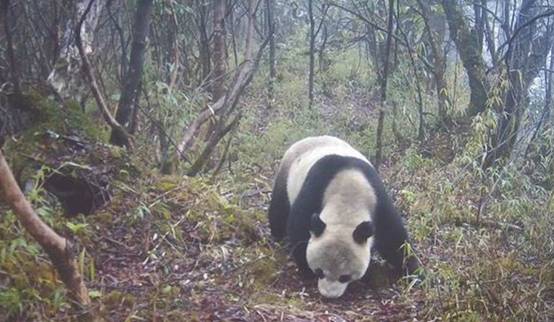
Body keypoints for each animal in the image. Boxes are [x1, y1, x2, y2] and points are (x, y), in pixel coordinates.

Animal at [266, 135, 414, 298]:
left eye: (344, 277)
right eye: (320, 271)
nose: (329, 295)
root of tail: (309, 138)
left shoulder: (378, 198)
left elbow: (394, 239)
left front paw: (411, 271)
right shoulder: (316, 188)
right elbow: (299, 225)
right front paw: (305, 268)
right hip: (287, 172)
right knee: (279, 208)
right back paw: (278, 234)